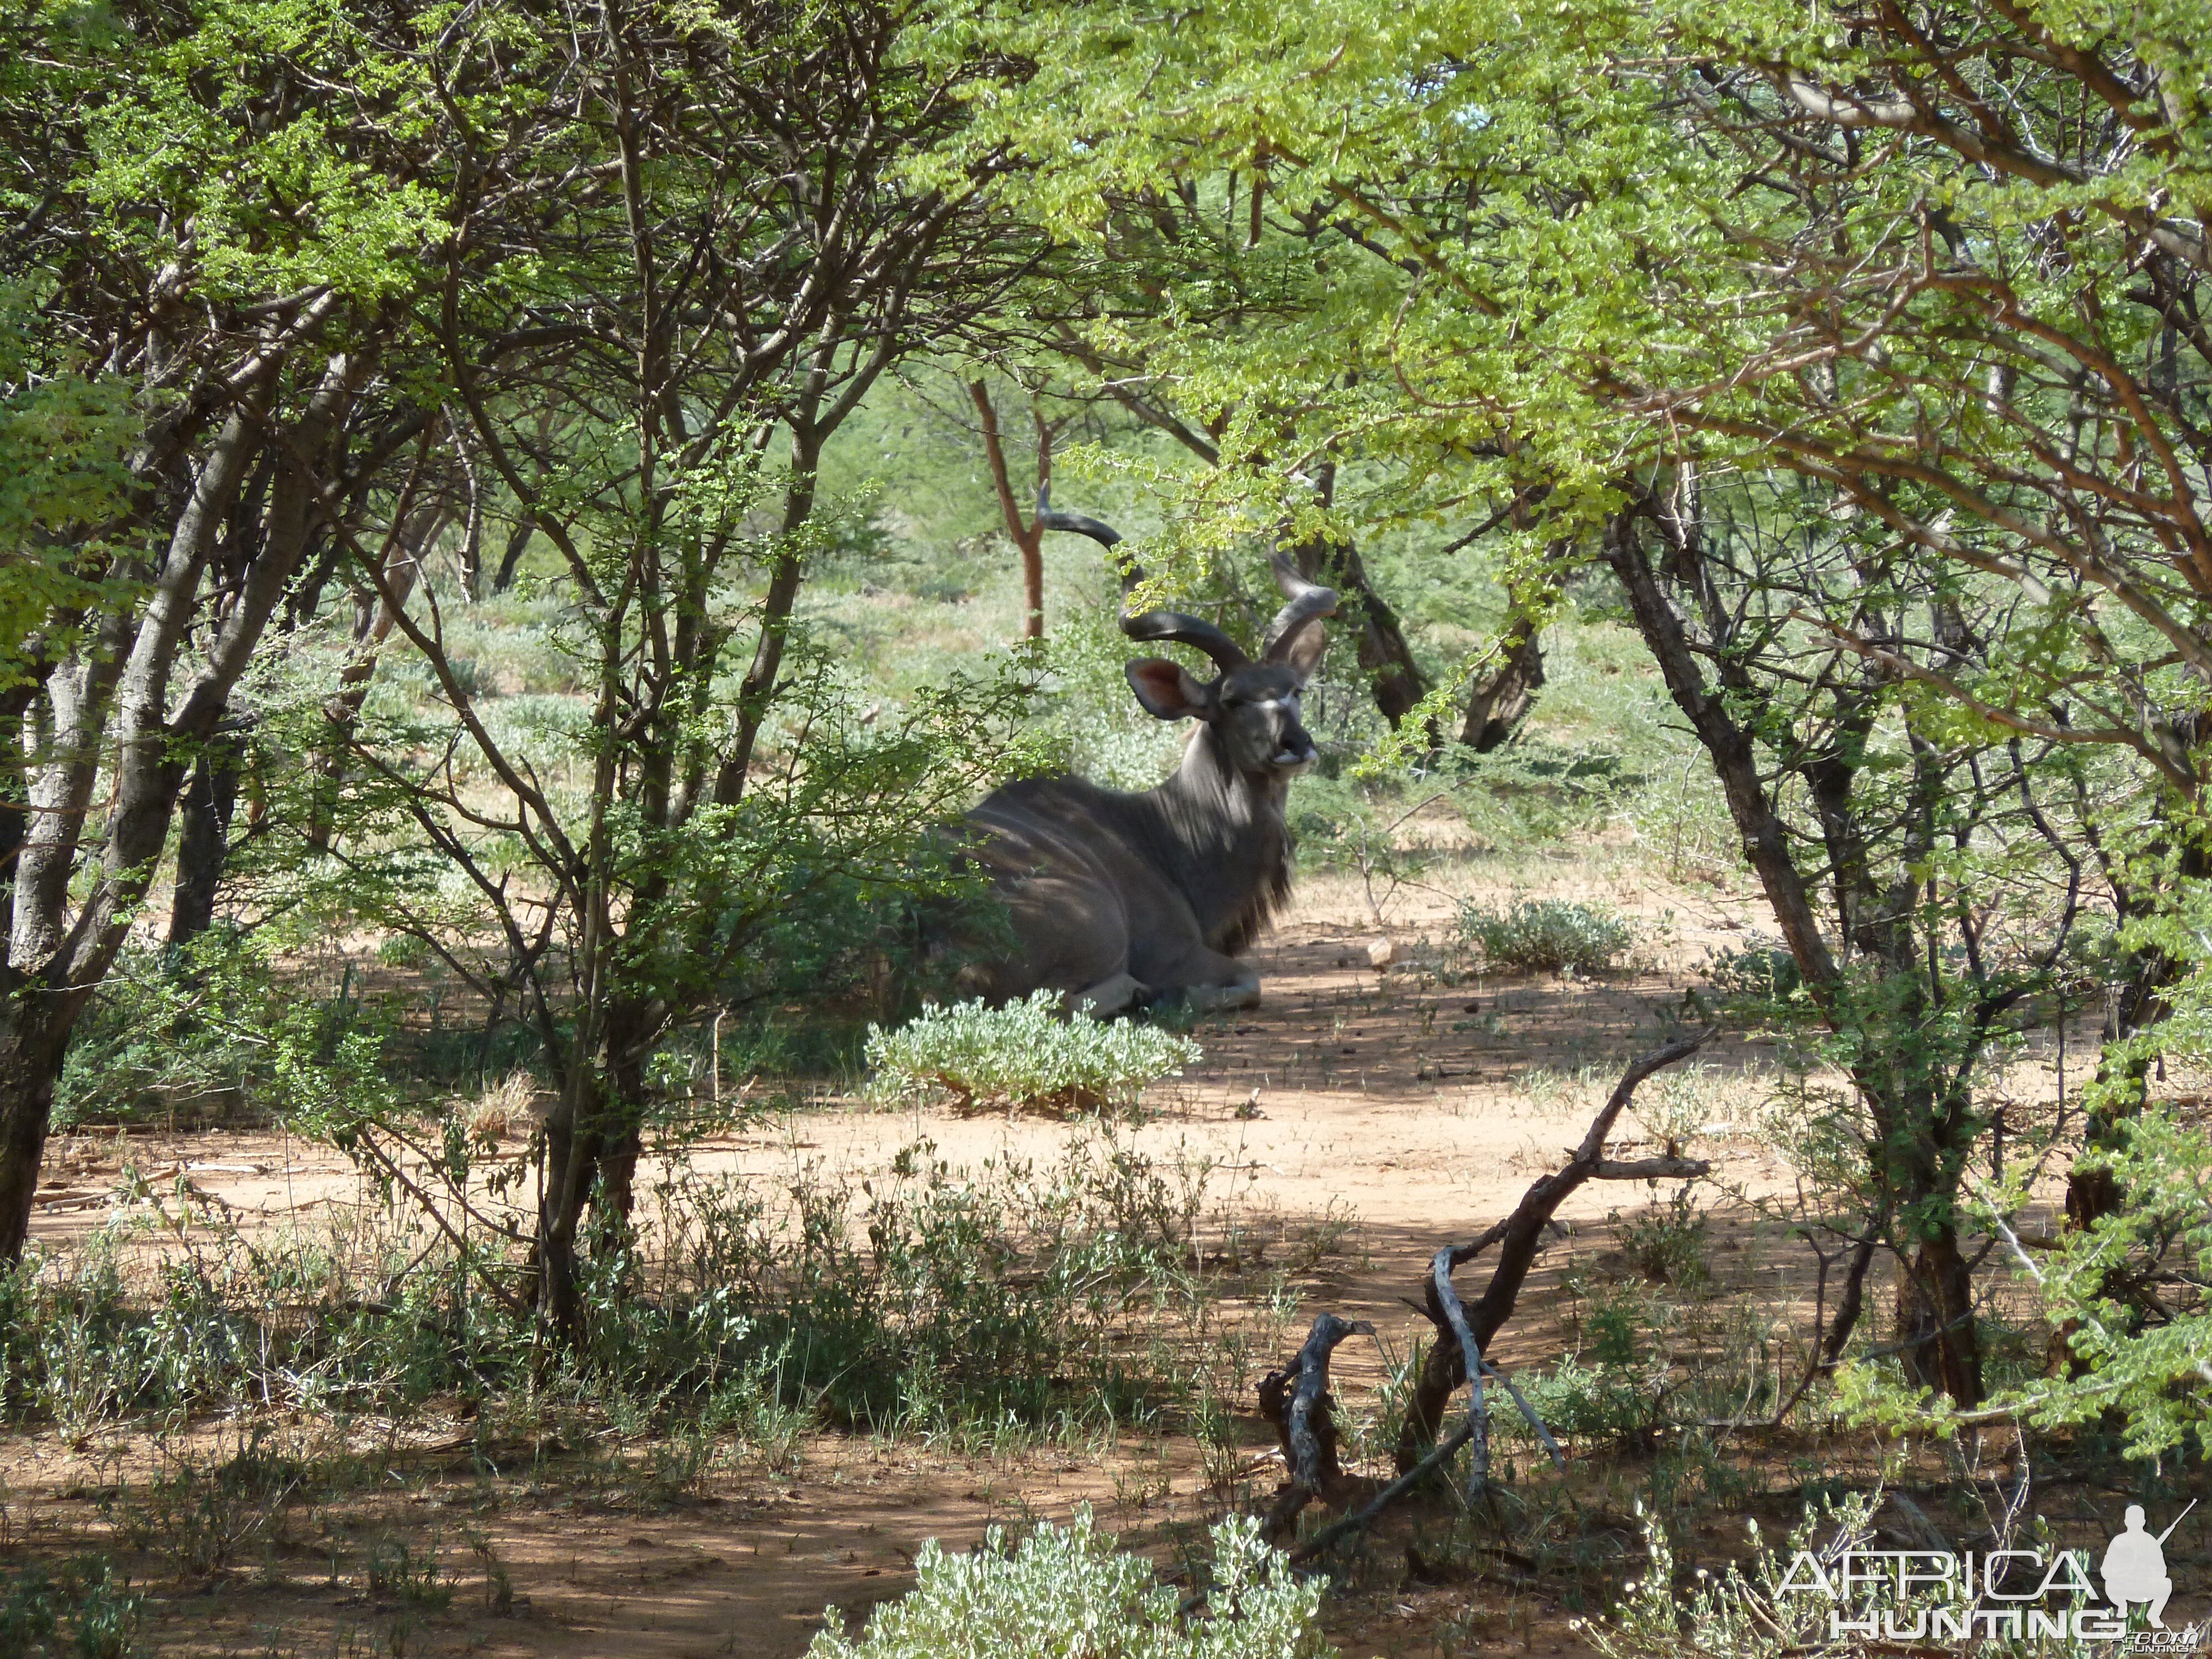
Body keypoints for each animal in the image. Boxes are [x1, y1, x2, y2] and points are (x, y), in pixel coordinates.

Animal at [951, 500, 1327, 1022]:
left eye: (1295, 690)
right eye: (1232, 700)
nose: (1295, 743)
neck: (1163, 831)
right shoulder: (1175, 952)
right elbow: (1250, 981)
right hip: (1098, 925)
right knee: (1055, 1006)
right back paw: (1143, 996)